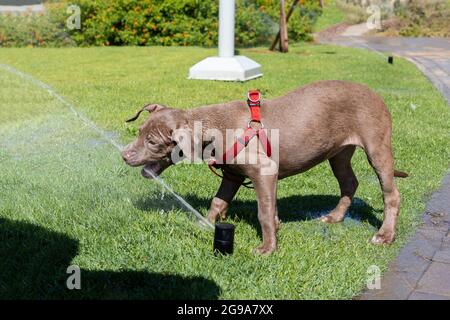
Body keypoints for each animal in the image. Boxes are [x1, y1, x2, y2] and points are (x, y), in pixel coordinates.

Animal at [122, 80, 408, 255]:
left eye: (152, 142)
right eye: (139, 131)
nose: (124, 155)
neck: (213, 129)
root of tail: (376, 94)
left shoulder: (264, 170)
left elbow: (263, 212)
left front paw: (267, 248)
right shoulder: (232, 175)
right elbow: (218, 202)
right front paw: (205, 224)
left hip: (377, 147)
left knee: (391, 194)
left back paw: (384, 235)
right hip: (338, 153)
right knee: (349, 182)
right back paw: (335, 217)